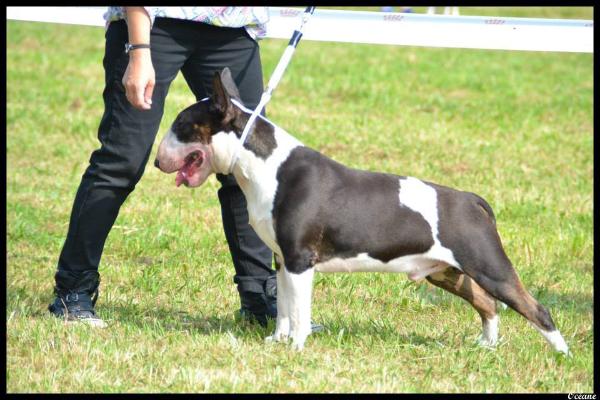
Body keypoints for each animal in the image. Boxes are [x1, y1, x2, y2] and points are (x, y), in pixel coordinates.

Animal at [155, 67, 568, 354]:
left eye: (181, 125)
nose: (158, 162)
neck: (265, 164)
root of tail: (472, 199)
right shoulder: (283, 259)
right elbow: (285, 307)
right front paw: (278, 341)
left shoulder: (301, 260)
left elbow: (300, 310)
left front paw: (297, 347)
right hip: (447, 272)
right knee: (488, 304)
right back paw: (487, 346)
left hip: (488, 265)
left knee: (535, 308)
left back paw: (561, 355)